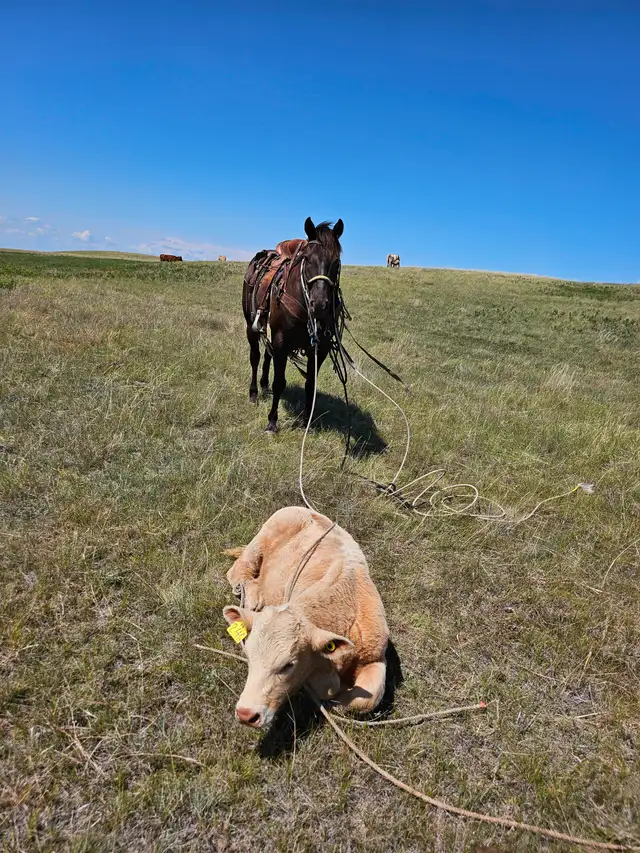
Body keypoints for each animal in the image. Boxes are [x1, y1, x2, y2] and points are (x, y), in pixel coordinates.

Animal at [242, 217, 344, 433]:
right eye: (308, 259)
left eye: (336, 262)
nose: (320, 305)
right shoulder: (281, 342)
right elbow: (279, 382)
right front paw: (272, 422)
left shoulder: (320, 348)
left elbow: (311, 384)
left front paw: (307, 421)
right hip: (250, 326)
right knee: (255, 357)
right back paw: (254, 393)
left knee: (267, 355)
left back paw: (264, 386)